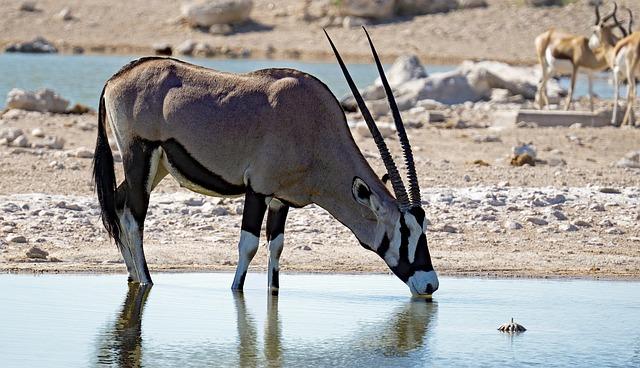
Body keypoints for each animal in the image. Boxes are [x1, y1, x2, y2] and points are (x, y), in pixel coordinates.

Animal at [91, 29, 440, 300]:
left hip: (156, 167)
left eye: (423, 229)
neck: (314, 126)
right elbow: (249, 244)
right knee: (133, 216)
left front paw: (274, 293)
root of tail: (115, 78)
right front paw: (236, 290)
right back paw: (146, 281)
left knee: (118, 203)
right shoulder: (257, 189)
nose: (430, 284)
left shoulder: (281, 199)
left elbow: (277, 246)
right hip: (140, 155)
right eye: (403, 231)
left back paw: (133, 275)